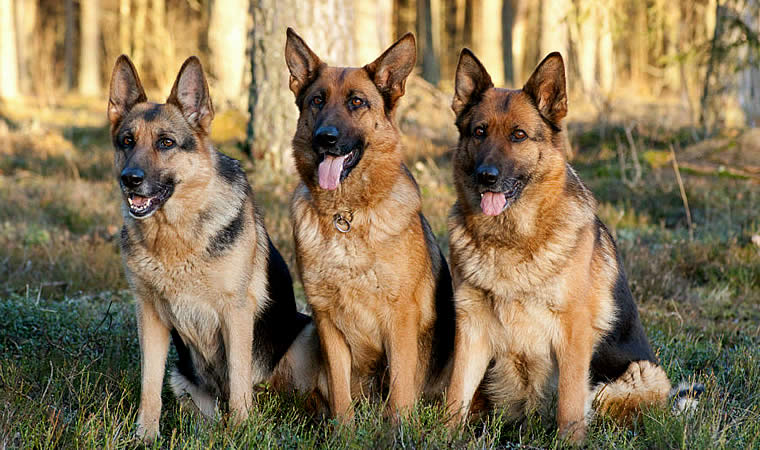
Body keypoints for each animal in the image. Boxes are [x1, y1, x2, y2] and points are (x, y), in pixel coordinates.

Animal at [107, 55, 320, 440]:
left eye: (166, 143)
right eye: (127, 141)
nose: (130, 179)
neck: (174, 237)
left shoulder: (235, 313)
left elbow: (238, 379)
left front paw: (242, 430)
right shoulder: (150, 316)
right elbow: (149, 386)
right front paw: (145, 436)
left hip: (306, 333)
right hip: (182, 376)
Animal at [284, 29, 452, 422]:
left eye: (357, 102)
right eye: (317, 101)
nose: (325, 138)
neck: (347, 215)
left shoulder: (400, 318)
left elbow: (401, 392)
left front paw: (399, 429)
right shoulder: (325, 319)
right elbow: (340, 392)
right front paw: (342, 429)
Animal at [446, 50, 700, 442]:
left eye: (519, 135)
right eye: (479, 132)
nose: (486, 176)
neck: (511, 239)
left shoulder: (572, 331)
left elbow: (568, 402)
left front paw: (568, 442)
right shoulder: (471, 329)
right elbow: (456, 393)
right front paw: (434, 435)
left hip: (631, 379)